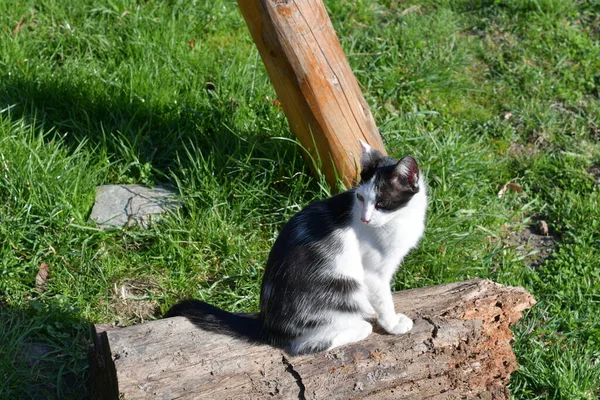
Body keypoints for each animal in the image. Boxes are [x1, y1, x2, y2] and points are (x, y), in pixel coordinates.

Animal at [165, 141, 426, 356]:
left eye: (381, 203)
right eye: (360, 198)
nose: (364, 219)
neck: (399, 220)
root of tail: (267, 324)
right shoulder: (373, 273)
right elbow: (383, 299)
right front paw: (393, 324)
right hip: (341, 290)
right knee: (304, 346)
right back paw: (359, 327)